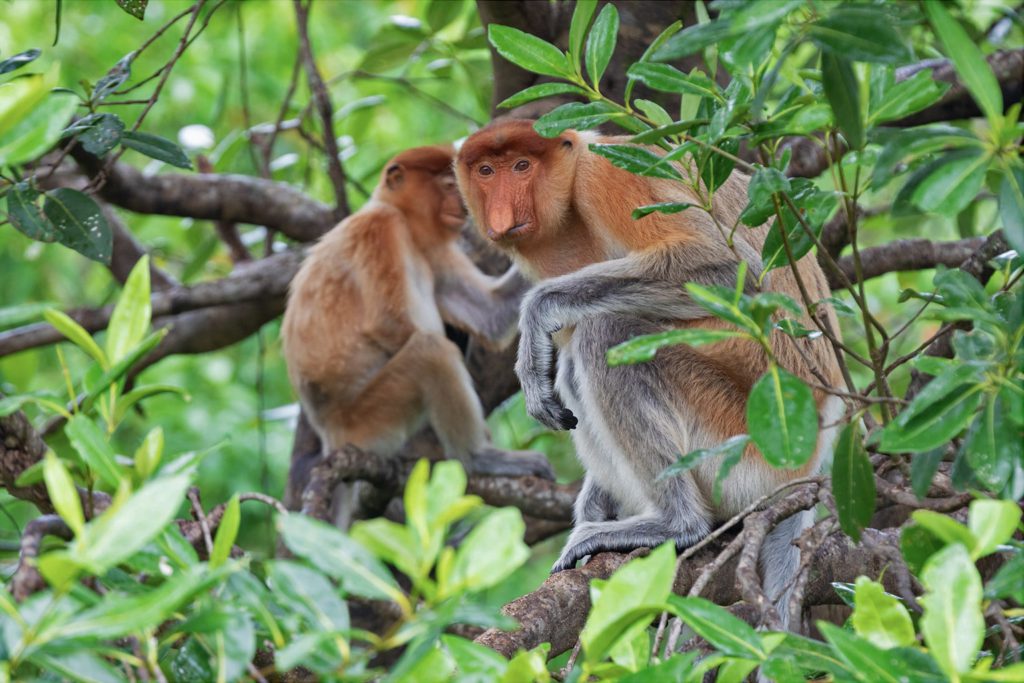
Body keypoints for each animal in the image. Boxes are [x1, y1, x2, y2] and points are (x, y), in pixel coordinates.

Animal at [282, 144, 552, 528]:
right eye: (446, 185)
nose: (463, 206)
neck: (405, 222)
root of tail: (331, 436)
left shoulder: (434, 251)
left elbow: (490, 315)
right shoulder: (382, 229)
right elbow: (388, 324)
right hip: (369, 420)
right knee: (431, 351)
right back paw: (478, 456)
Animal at [460, 118, 843, 626]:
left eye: (522, 165)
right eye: (486, 170)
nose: (501, 214)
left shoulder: (608, 177)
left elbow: (726, 265)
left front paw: (535, 317)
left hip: (737, 443)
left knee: (606, 332)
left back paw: (676, 526)